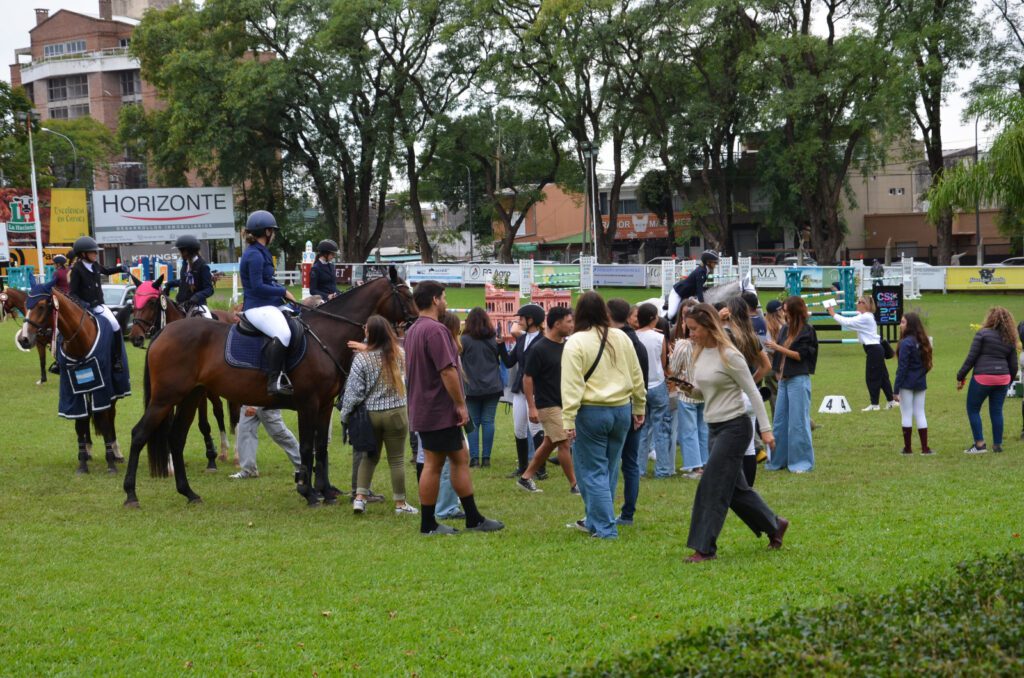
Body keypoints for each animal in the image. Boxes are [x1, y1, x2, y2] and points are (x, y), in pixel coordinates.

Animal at [17, 286, 127, 474]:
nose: (23, 340)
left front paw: (111, 462)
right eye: (25, 305)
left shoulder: (103, 390)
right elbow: (80, 424)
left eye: (41, 306)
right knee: (88, 416)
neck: (80, 342)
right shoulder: (72, 391)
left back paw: (116, 452)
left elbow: (105, 422)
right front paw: (82, 462)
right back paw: (89, 450)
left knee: (111, 416)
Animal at [128, 276, 240, 470]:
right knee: (219, 409)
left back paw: (236, 454)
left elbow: (203, 424)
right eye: (134, 302)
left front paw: (210, 459)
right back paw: (224, 450)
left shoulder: (197, 393)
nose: (136, 337)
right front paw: (170, 464)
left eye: (151, 302)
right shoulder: (170, 392)